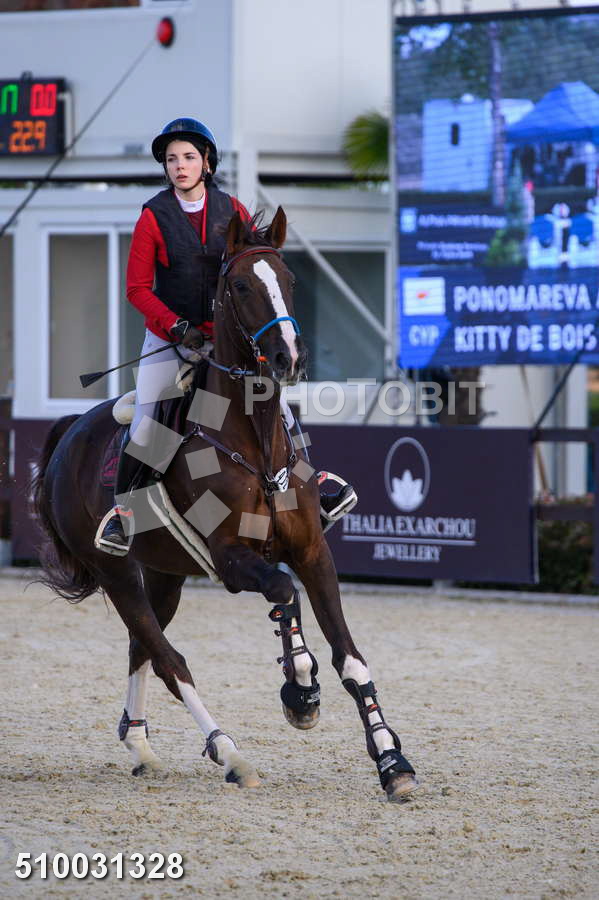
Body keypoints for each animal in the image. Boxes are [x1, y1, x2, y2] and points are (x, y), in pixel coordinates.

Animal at [32, 207, 418, 801]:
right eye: (239, 286)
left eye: (290, 281)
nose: (288, 357)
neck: (253, 439)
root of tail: (69, 433)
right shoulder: (233, 559)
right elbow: (282, 592)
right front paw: (300, 690)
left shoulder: (311, 551)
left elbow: (349, 658)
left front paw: (391, 761)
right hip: (114, 571)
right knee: (170, 661)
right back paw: (230, 753)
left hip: (164, 573)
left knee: (142, 647)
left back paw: (141, 746)